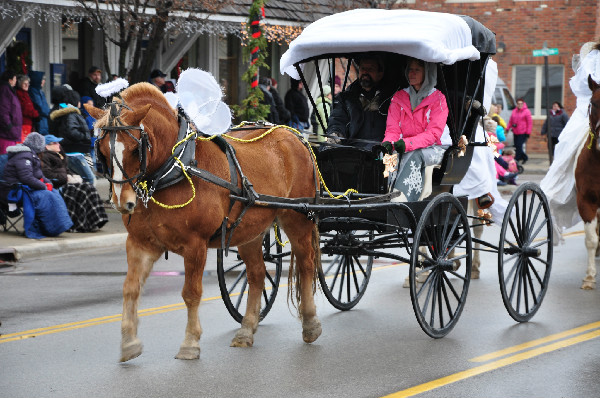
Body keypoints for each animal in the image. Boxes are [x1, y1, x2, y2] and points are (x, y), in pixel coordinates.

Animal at [85, 83, 324, 360]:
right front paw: (129, 342)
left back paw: (311, 323)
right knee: (256, 274)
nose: (122, 202)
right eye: (102, 151)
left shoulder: (195, 245)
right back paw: (246, 329)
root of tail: (296, 137)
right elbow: (130, 288)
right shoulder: (140, 243)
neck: (175, 168)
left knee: (306, 265)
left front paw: (190, 343)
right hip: (249, 230)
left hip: (297, 219)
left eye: (136, 149)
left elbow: (191, 293)